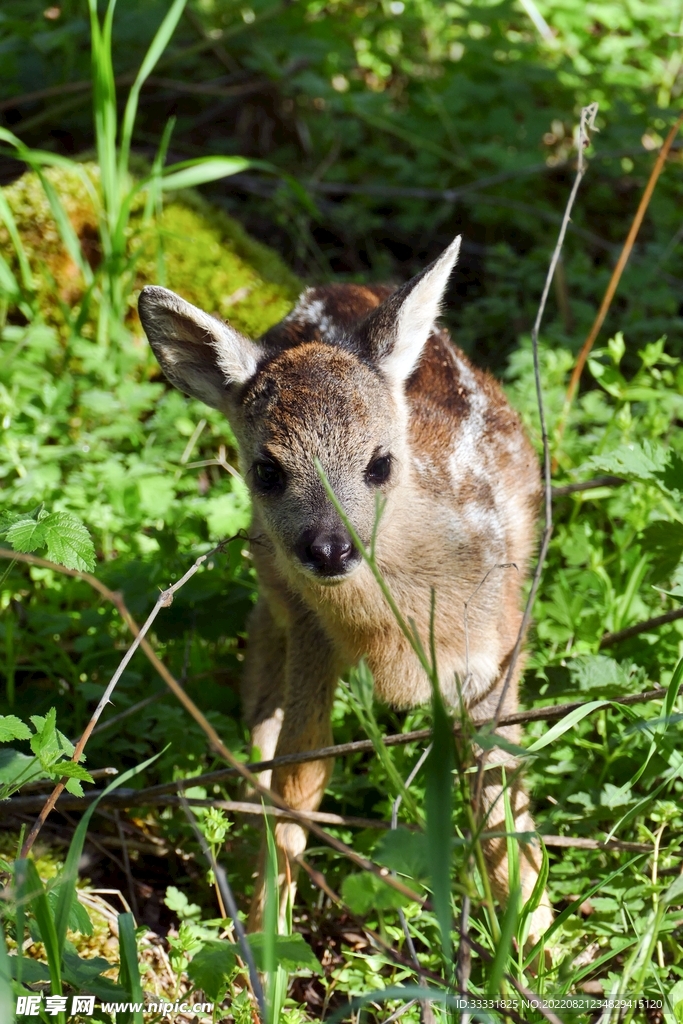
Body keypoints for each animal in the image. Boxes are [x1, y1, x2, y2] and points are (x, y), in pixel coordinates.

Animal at [138, 235, 553, 949]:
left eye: (380, 462)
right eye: (267, 469)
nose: (330, 548)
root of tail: (333, 288)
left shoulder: (499, 650)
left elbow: (499, 786)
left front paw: (537, 938)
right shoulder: (315, 634)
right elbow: (301, 776)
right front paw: (269, 940)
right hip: (273, 572)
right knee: (263, 641)